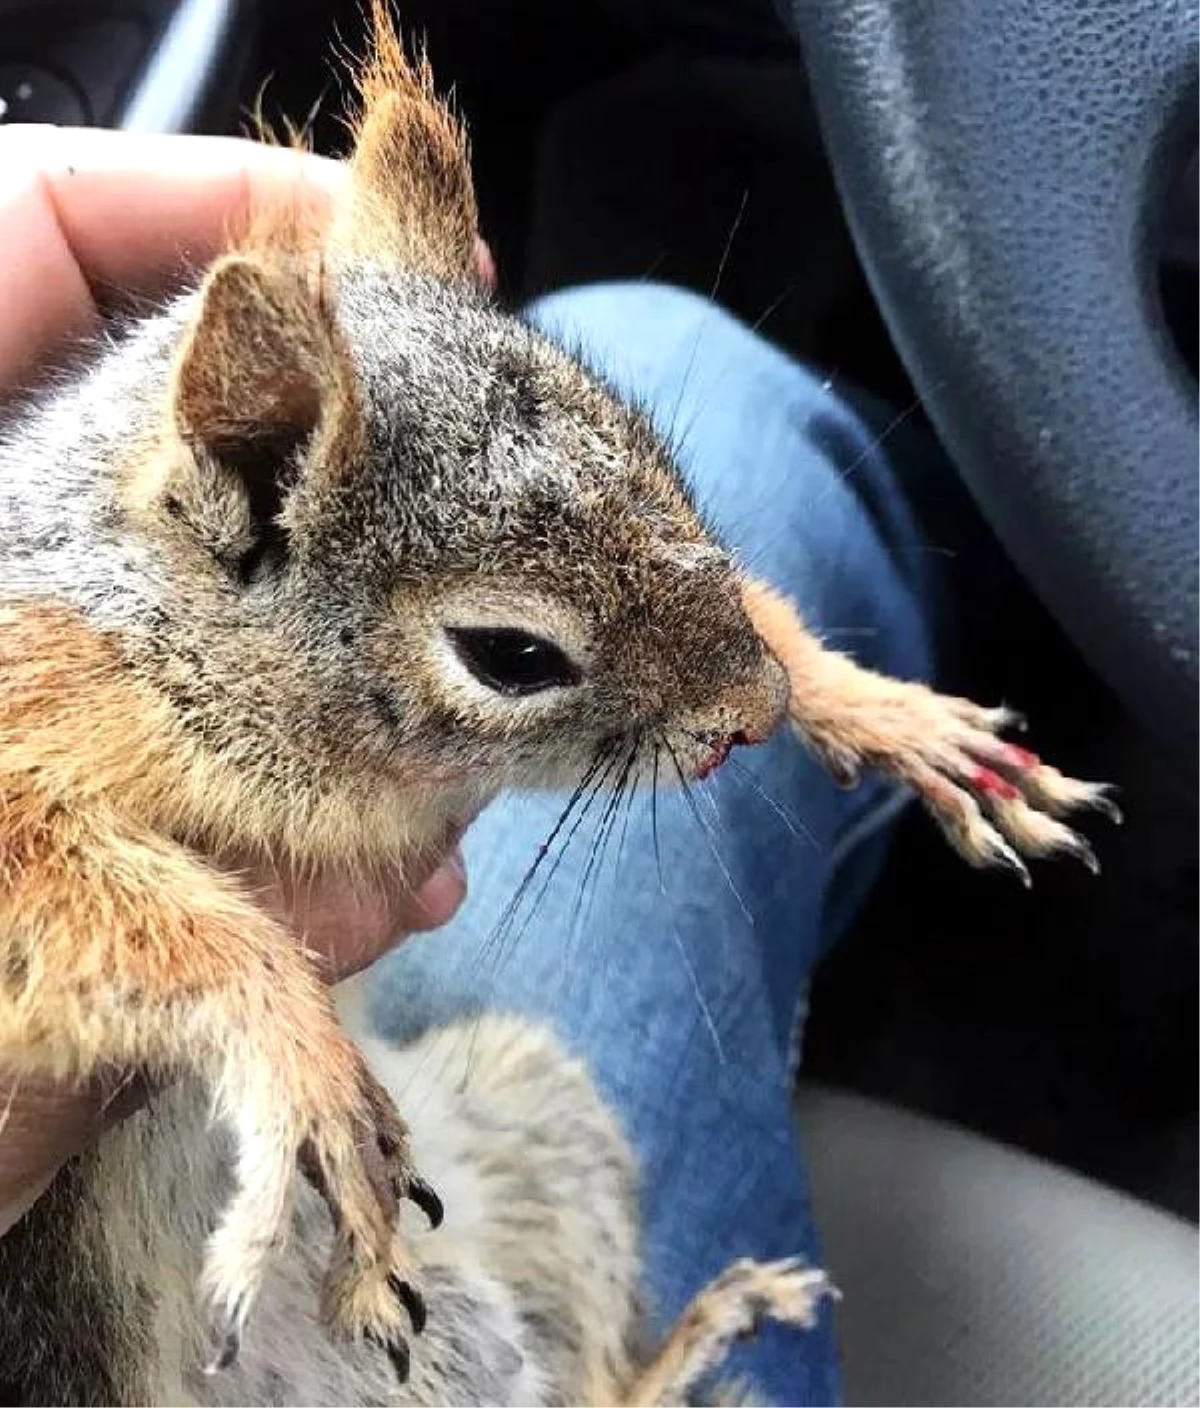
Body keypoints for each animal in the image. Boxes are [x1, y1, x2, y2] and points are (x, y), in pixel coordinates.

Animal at [0, 5, 1115, 1402]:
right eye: (511, 657)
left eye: (654, 453)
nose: (753, 713)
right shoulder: (43, 697)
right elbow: (92, 905)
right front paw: (301, 1060)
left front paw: (886, 712)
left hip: (542, 1111)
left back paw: (699, 1333)